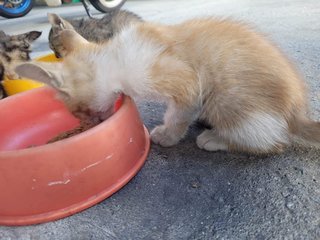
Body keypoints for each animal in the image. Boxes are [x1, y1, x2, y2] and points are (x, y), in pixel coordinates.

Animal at [16, 18, 320, 154]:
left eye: (78, 112)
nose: (90, 123)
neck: (113, 56)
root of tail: (296, 112)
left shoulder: (188, 82)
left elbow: (178, 113)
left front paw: (167, 135)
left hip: (227, 97)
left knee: (271, 142)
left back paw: (216, 138)